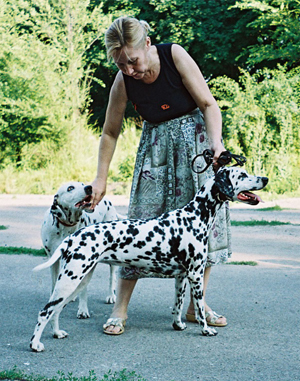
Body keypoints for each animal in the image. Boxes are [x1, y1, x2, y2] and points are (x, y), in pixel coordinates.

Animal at [41, 181, 123, 318]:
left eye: (83, 184)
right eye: (70, 188)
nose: (89, 187)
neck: (66, 227)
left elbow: (84, 291)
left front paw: (83, 310)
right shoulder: (54, 260)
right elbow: (55, 283)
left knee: (112, 277)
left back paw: (111, 296)